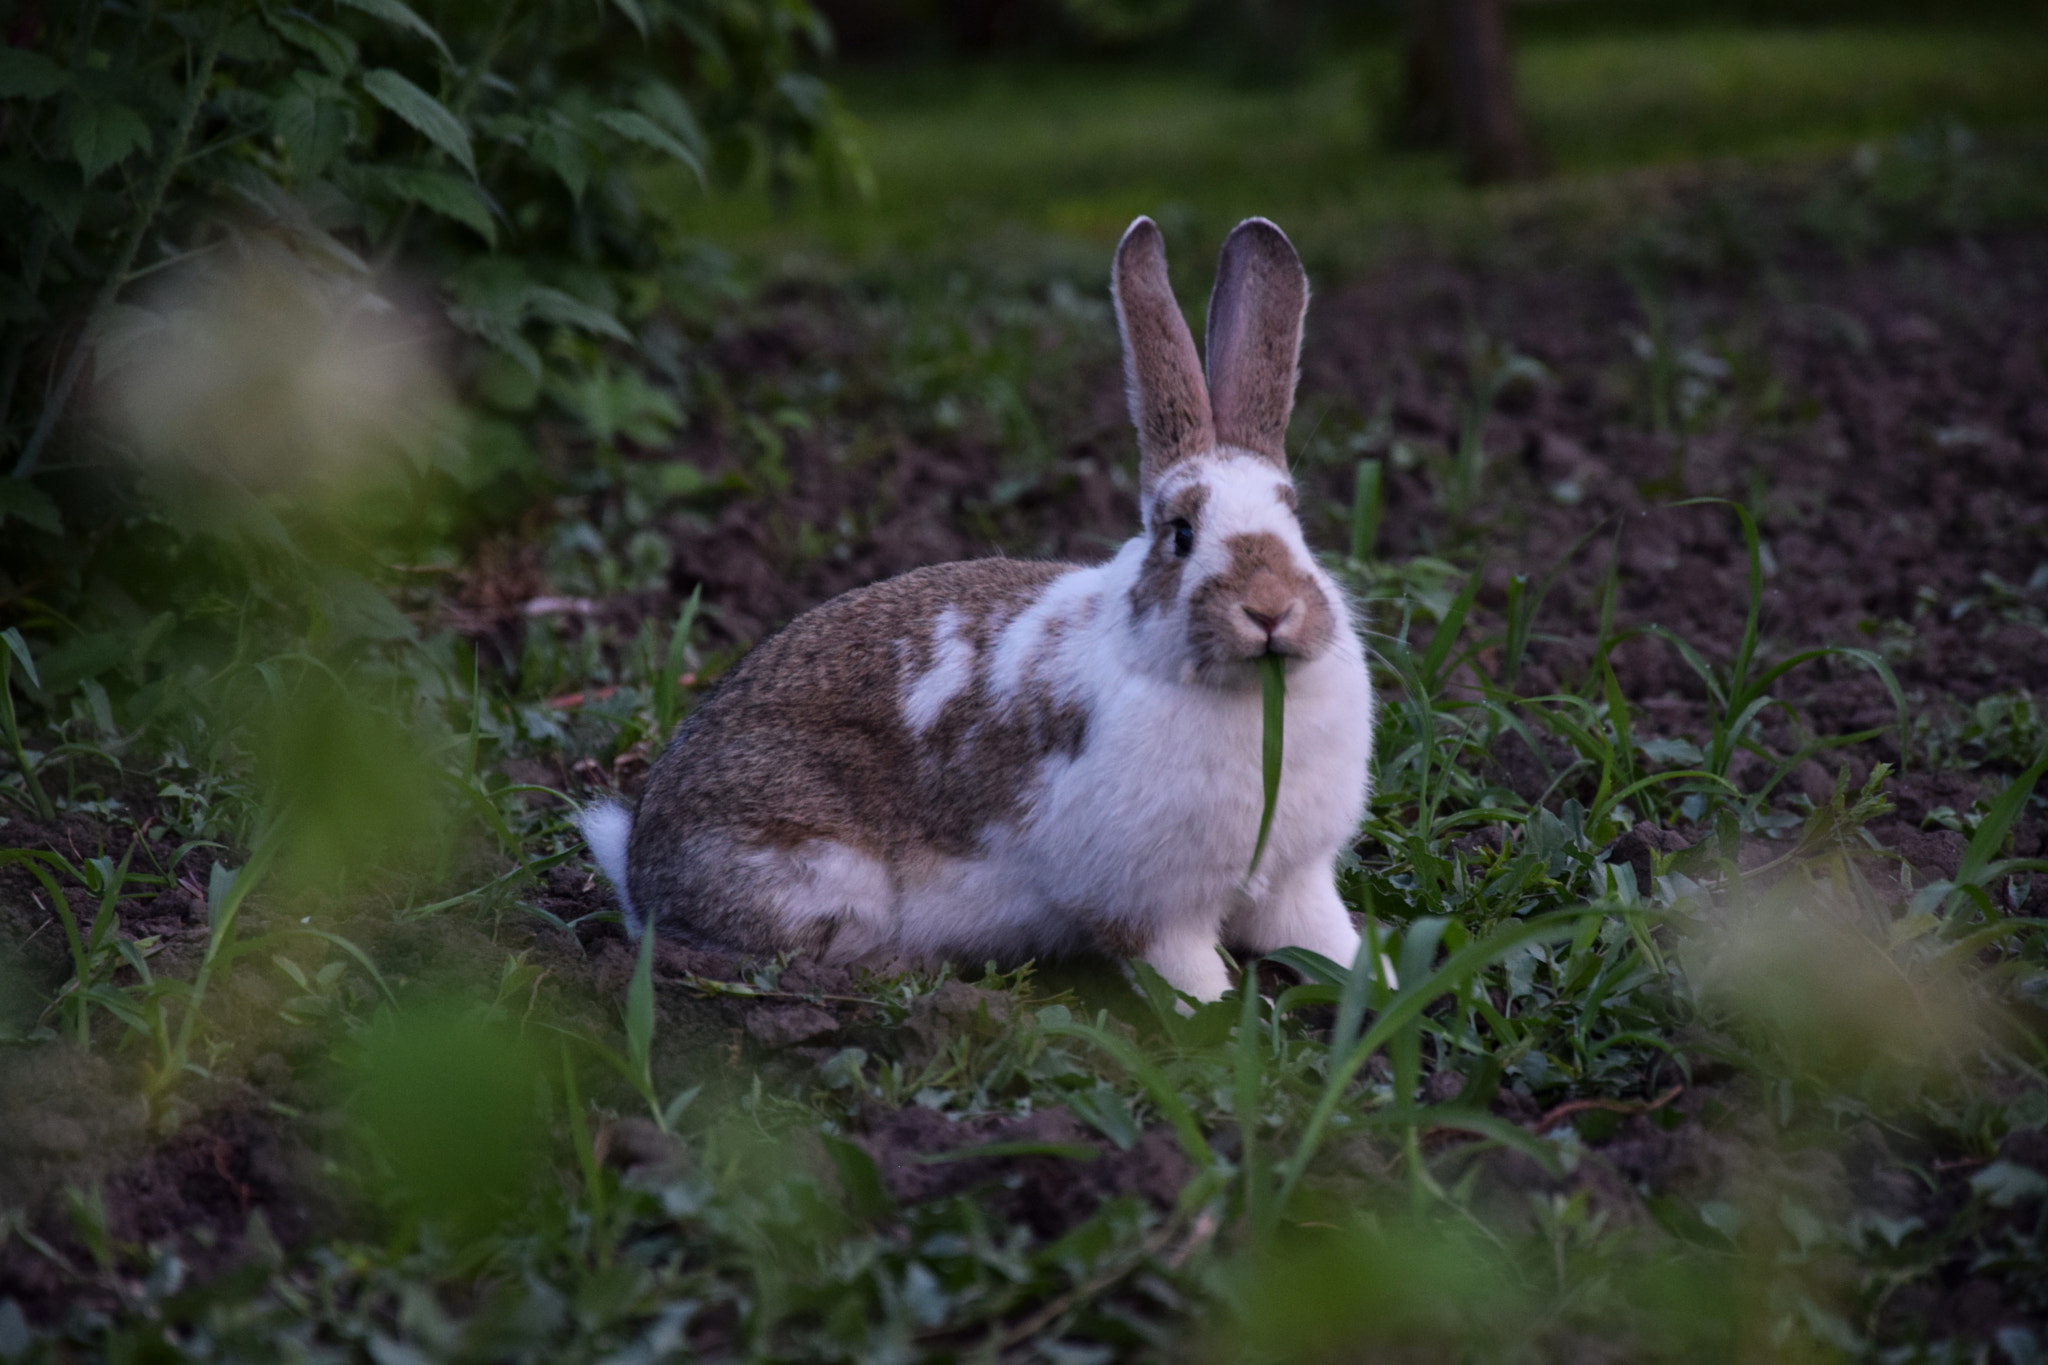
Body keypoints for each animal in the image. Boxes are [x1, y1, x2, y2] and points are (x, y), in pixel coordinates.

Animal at [578, 216, 1373, 1002]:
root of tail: (640, 866)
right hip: (815, 872)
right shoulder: (1149, 909)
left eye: (1296, 520)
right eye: (1180, 534)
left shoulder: (1297, 880)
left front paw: (1377, 987)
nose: (1270, 610)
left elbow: (1328, 939)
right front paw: (1221, 1021)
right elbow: (1187, 977)